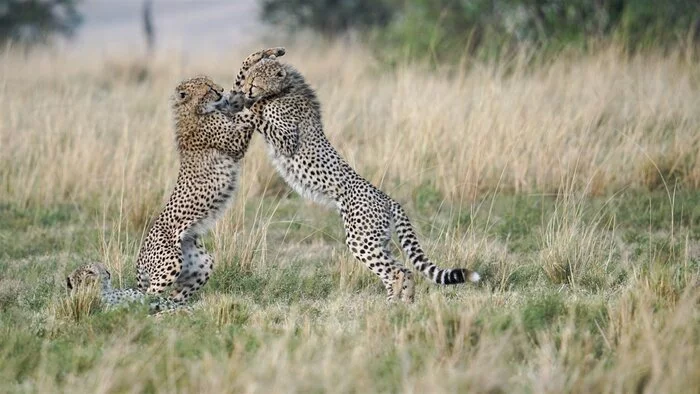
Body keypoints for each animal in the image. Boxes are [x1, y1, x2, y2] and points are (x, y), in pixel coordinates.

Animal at [135, 75, 256, 304]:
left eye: (212, 82)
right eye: (208, 88)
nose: (221, 90)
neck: (192, 109)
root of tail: (140, 256)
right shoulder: (235, 142)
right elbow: (248, 116)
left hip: (202, 264)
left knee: (175, 295)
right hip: (170, 261)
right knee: (147, 296)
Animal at [235, 49, 482, 302]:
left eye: (255, 82)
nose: (248, 90)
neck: (284, 90)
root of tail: (387, 198)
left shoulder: (287, 141)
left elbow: (259, 117)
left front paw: (249, 105)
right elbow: (242, 75)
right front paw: (261, 59)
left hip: (361, 240)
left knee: (395, 271)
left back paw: (393, 304)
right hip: (378, 240)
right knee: (404, 269)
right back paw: (403, 302)